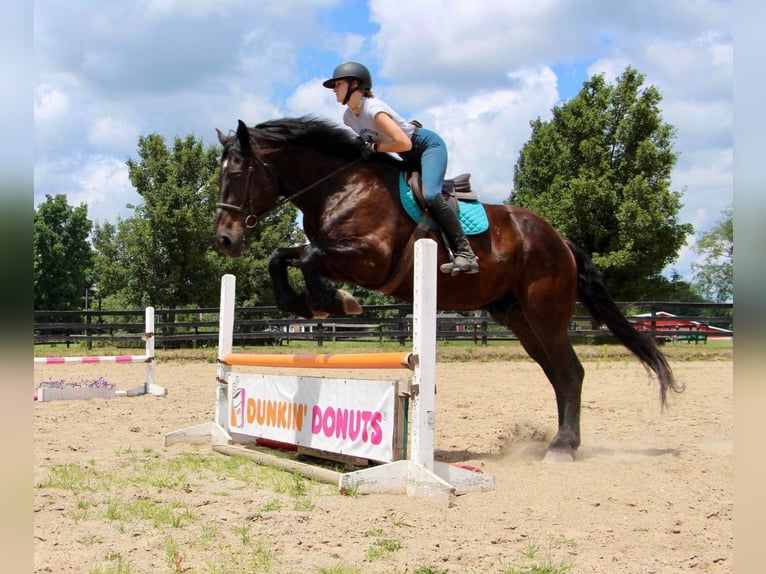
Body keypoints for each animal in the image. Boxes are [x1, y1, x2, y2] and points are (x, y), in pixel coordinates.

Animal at [212, 117, 684, 464]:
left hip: (544, 314)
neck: (339, 186)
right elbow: (282, 256)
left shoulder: (370, 260)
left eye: (237, 174)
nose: (225, 240)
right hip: (519, 319)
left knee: (570, 372)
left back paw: (562, 448)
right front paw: (304, 304)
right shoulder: (335, 251)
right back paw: (560, 441)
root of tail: (560, 241)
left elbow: (308, 257)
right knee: (558, 374)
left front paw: (334, 302)